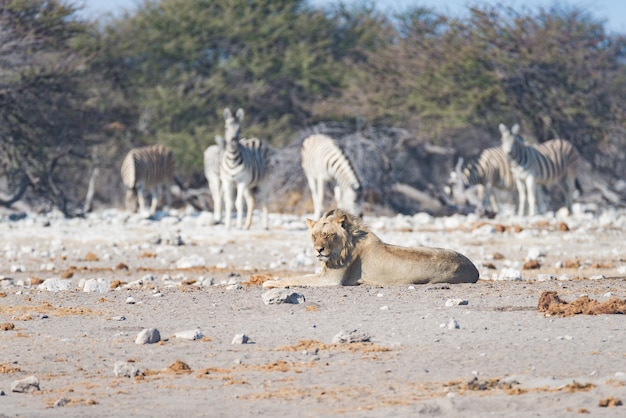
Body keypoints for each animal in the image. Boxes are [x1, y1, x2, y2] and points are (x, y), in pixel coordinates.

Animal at [262, 209, 478, 288]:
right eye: (314, 236)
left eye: (328, 235)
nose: (318, 250)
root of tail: (475, 269)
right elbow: (301, 276)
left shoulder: (332, 280)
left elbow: (295, 279)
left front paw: (269, 283)